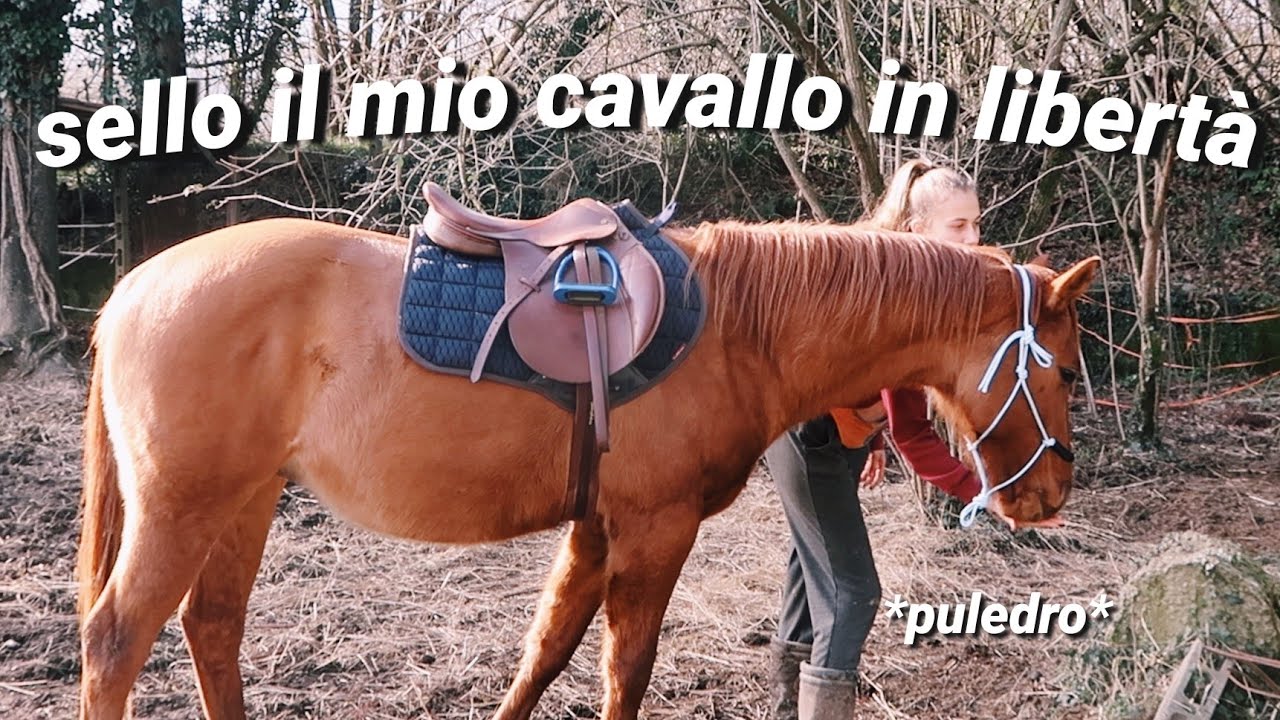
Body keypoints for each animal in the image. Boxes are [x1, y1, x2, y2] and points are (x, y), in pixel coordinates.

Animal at [76, 212, 1099, 719]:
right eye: (1063, 366)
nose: (1052, 492)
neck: (739, 328)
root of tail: (130, 290)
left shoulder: (594, 528)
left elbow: (544, 655)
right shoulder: (653, 529)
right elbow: (623, 671)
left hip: (243, 502)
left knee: (211, 630)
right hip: (182, 510)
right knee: (116, 642)